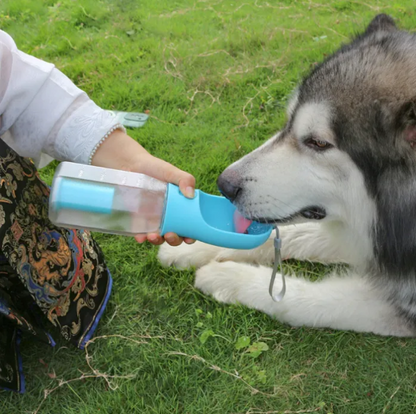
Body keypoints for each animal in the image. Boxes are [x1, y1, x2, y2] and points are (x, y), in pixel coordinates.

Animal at [158, 14, 416, 338]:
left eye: (318, 143)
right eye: (288, 122)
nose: (225, 185)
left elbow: (311, 301)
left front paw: (227, 276)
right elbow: (297, 235)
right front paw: (198, 247)